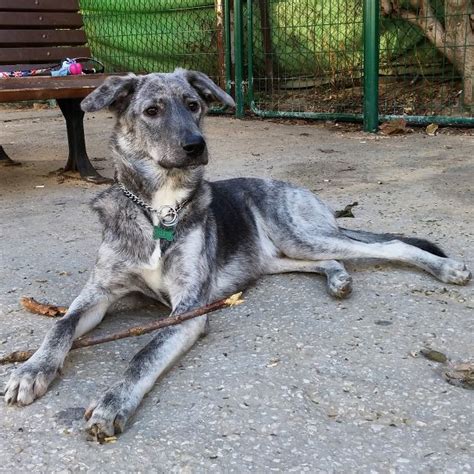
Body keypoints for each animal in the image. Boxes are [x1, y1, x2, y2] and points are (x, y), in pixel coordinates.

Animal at [3, 68, 470, 438]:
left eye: (193, 105)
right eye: (151, 111)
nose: (196, 145)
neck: (159, 209)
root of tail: (301, 191)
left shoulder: (188, 308)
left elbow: (144, 352)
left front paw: (114, 401)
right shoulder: (101, 292)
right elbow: (62, 324)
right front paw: (30, 371)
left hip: (300, 234)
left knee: (390, 244)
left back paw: (447, 268)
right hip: (275, 255)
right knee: (329, 260)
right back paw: (339, 279)